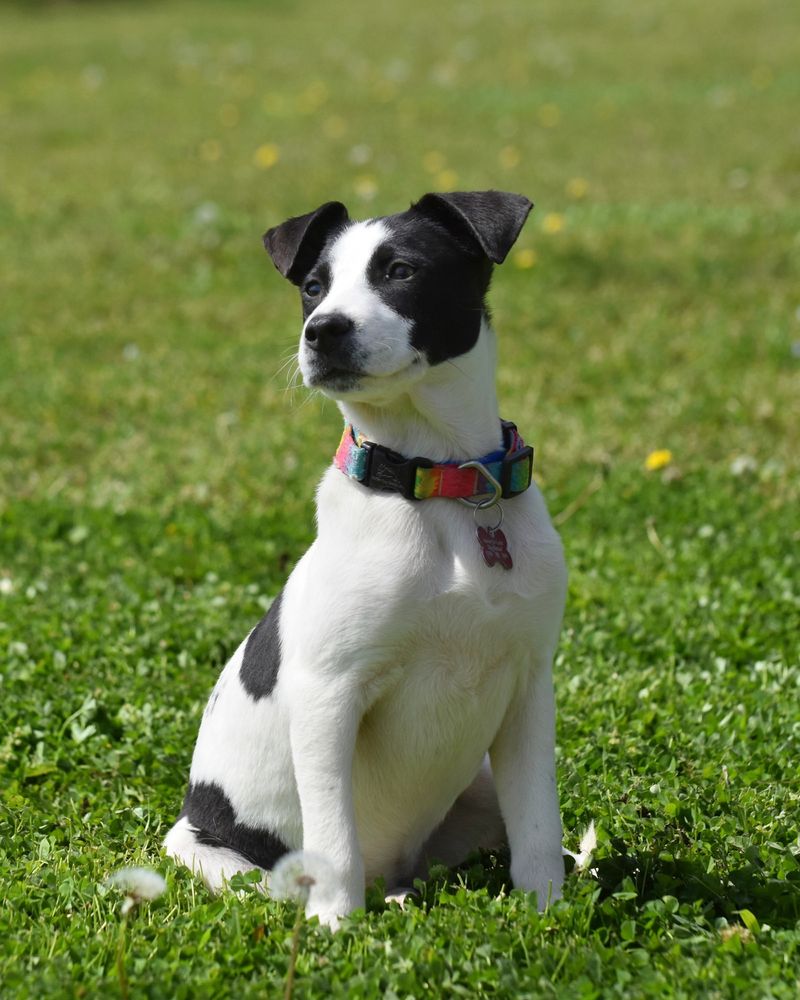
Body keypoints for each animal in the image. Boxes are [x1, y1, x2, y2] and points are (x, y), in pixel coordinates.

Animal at [164, 189, 568, 928]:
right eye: (313, 286)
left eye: (401, 271)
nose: (322, 331)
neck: (440, 484)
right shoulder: (329, 696)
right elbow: (335, 838)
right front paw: (335, 928)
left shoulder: (529, 691)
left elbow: (539, 827)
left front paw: (548, 914)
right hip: (214, 856)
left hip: (478, 786)